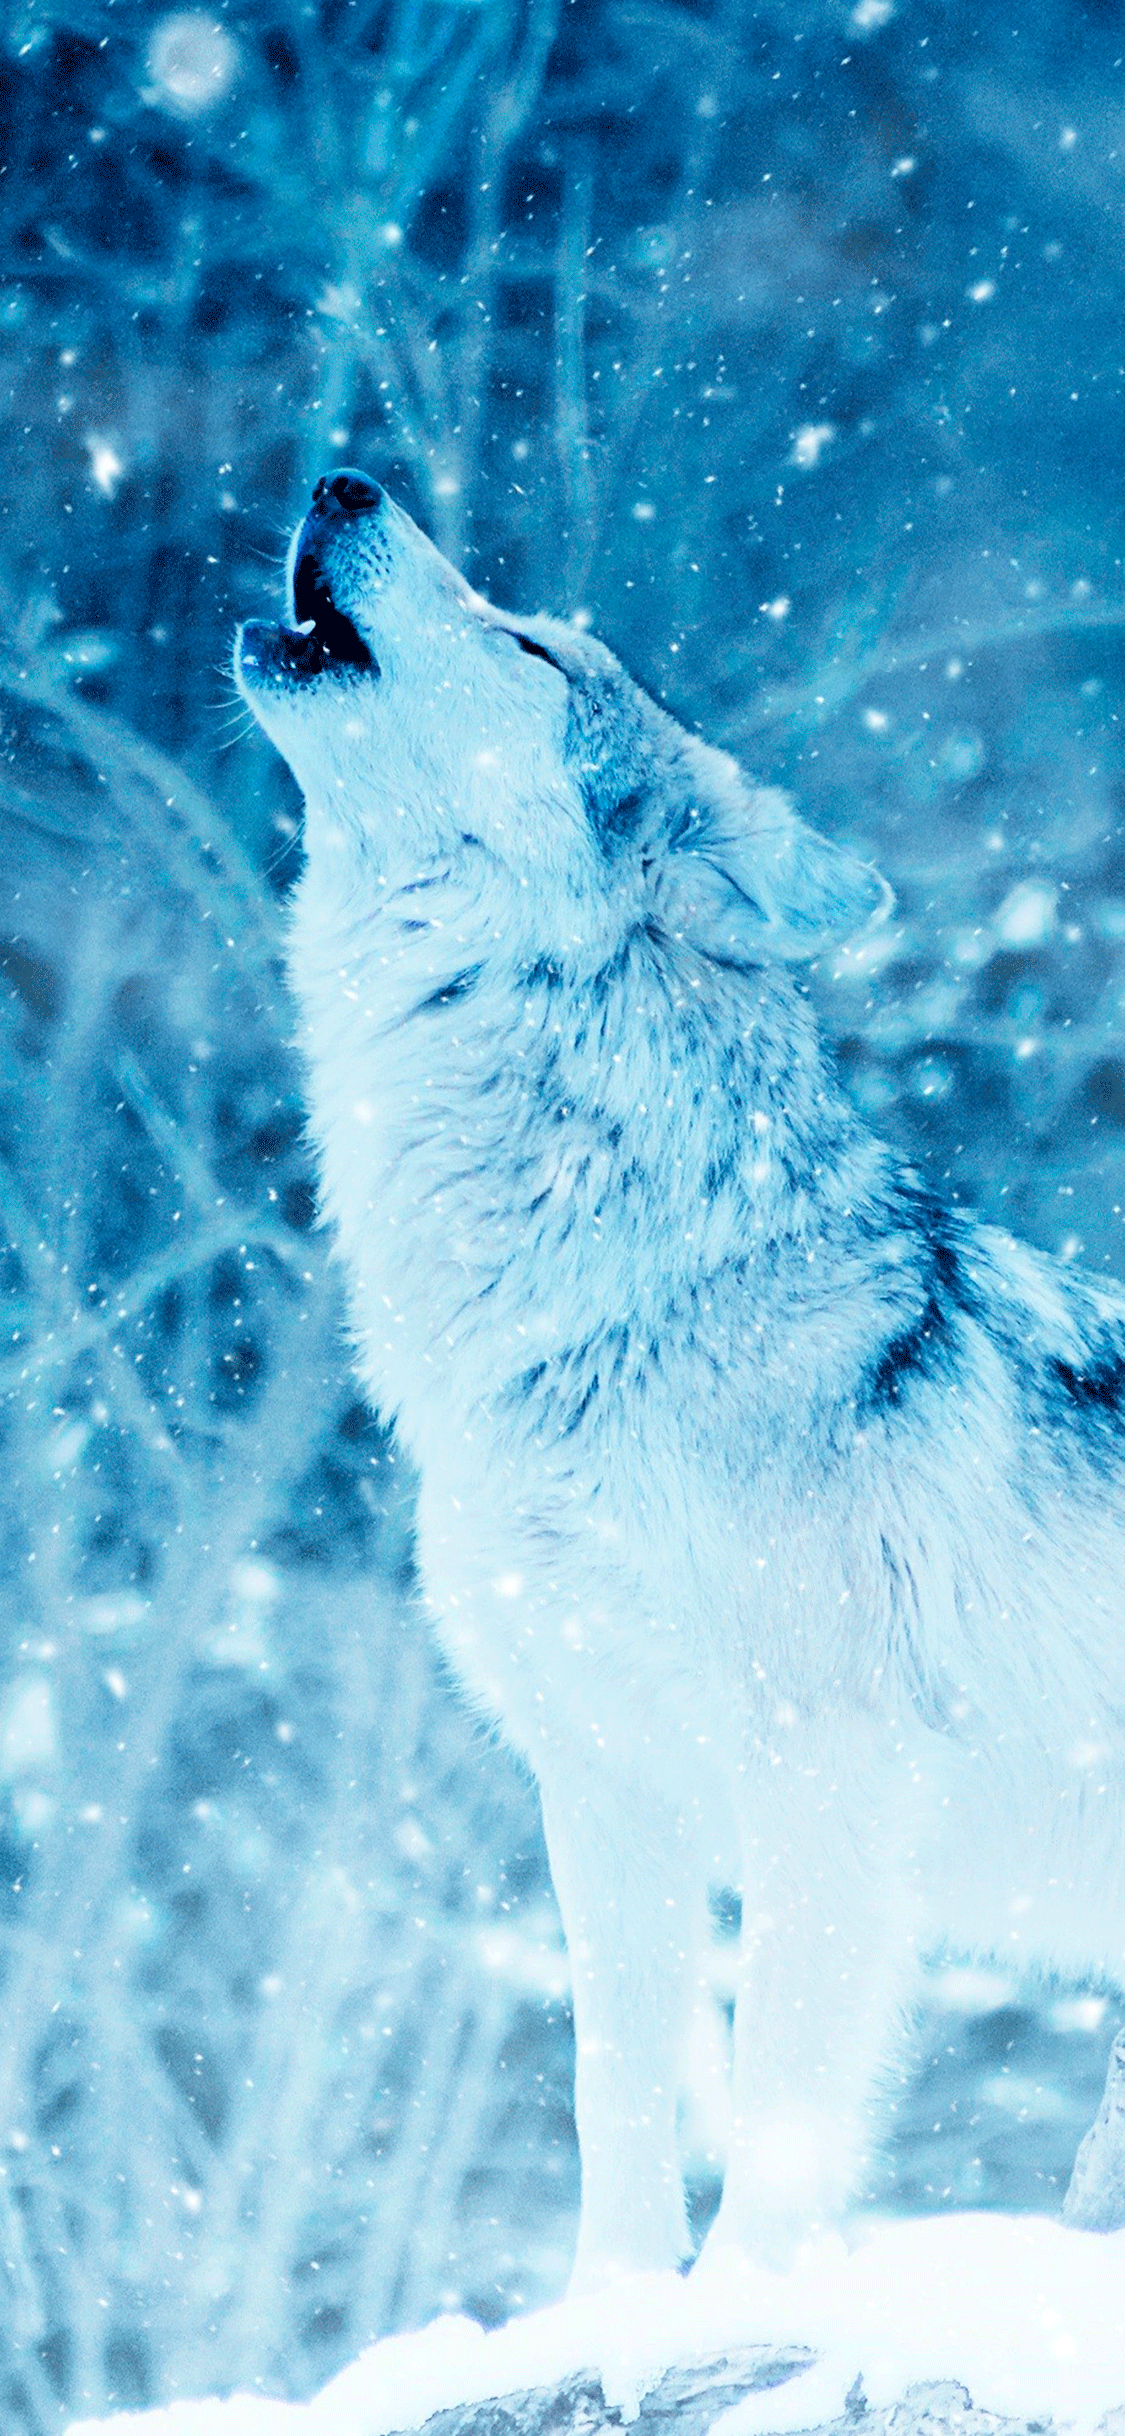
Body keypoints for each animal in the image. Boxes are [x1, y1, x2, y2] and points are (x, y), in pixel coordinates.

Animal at [236, 468, 1125, 2289]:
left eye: (528, 646)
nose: (346, 478)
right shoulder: (601, 1792)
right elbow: (617, 2101)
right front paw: (612, 2314)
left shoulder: (824, 1797)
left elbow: (778, 2116)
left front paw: (739, 2309)